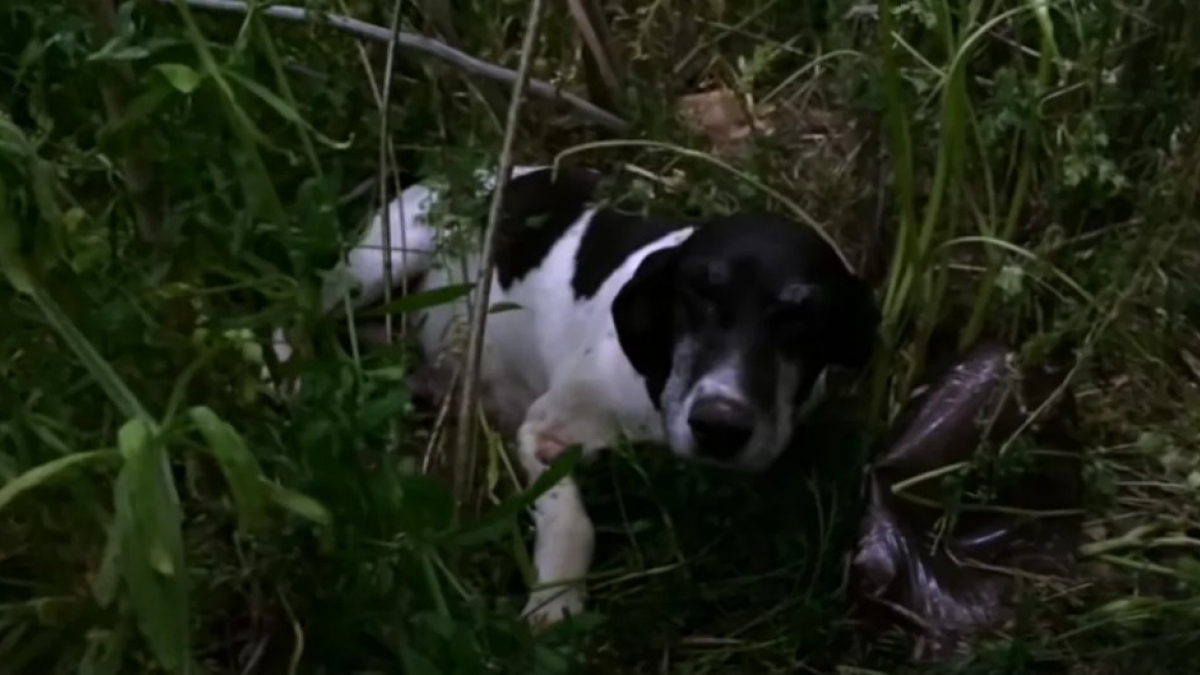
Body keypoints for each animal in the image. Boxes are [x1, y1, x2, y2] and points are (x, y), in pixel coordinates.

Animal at [267, 163, 878, 624]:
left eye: (804, 317)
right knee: (299, 310)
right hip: (381, 260)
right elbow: (571, 518)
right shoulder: (544, 431)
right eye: (697, 291)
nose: (719, 425)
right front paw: (555, 600)